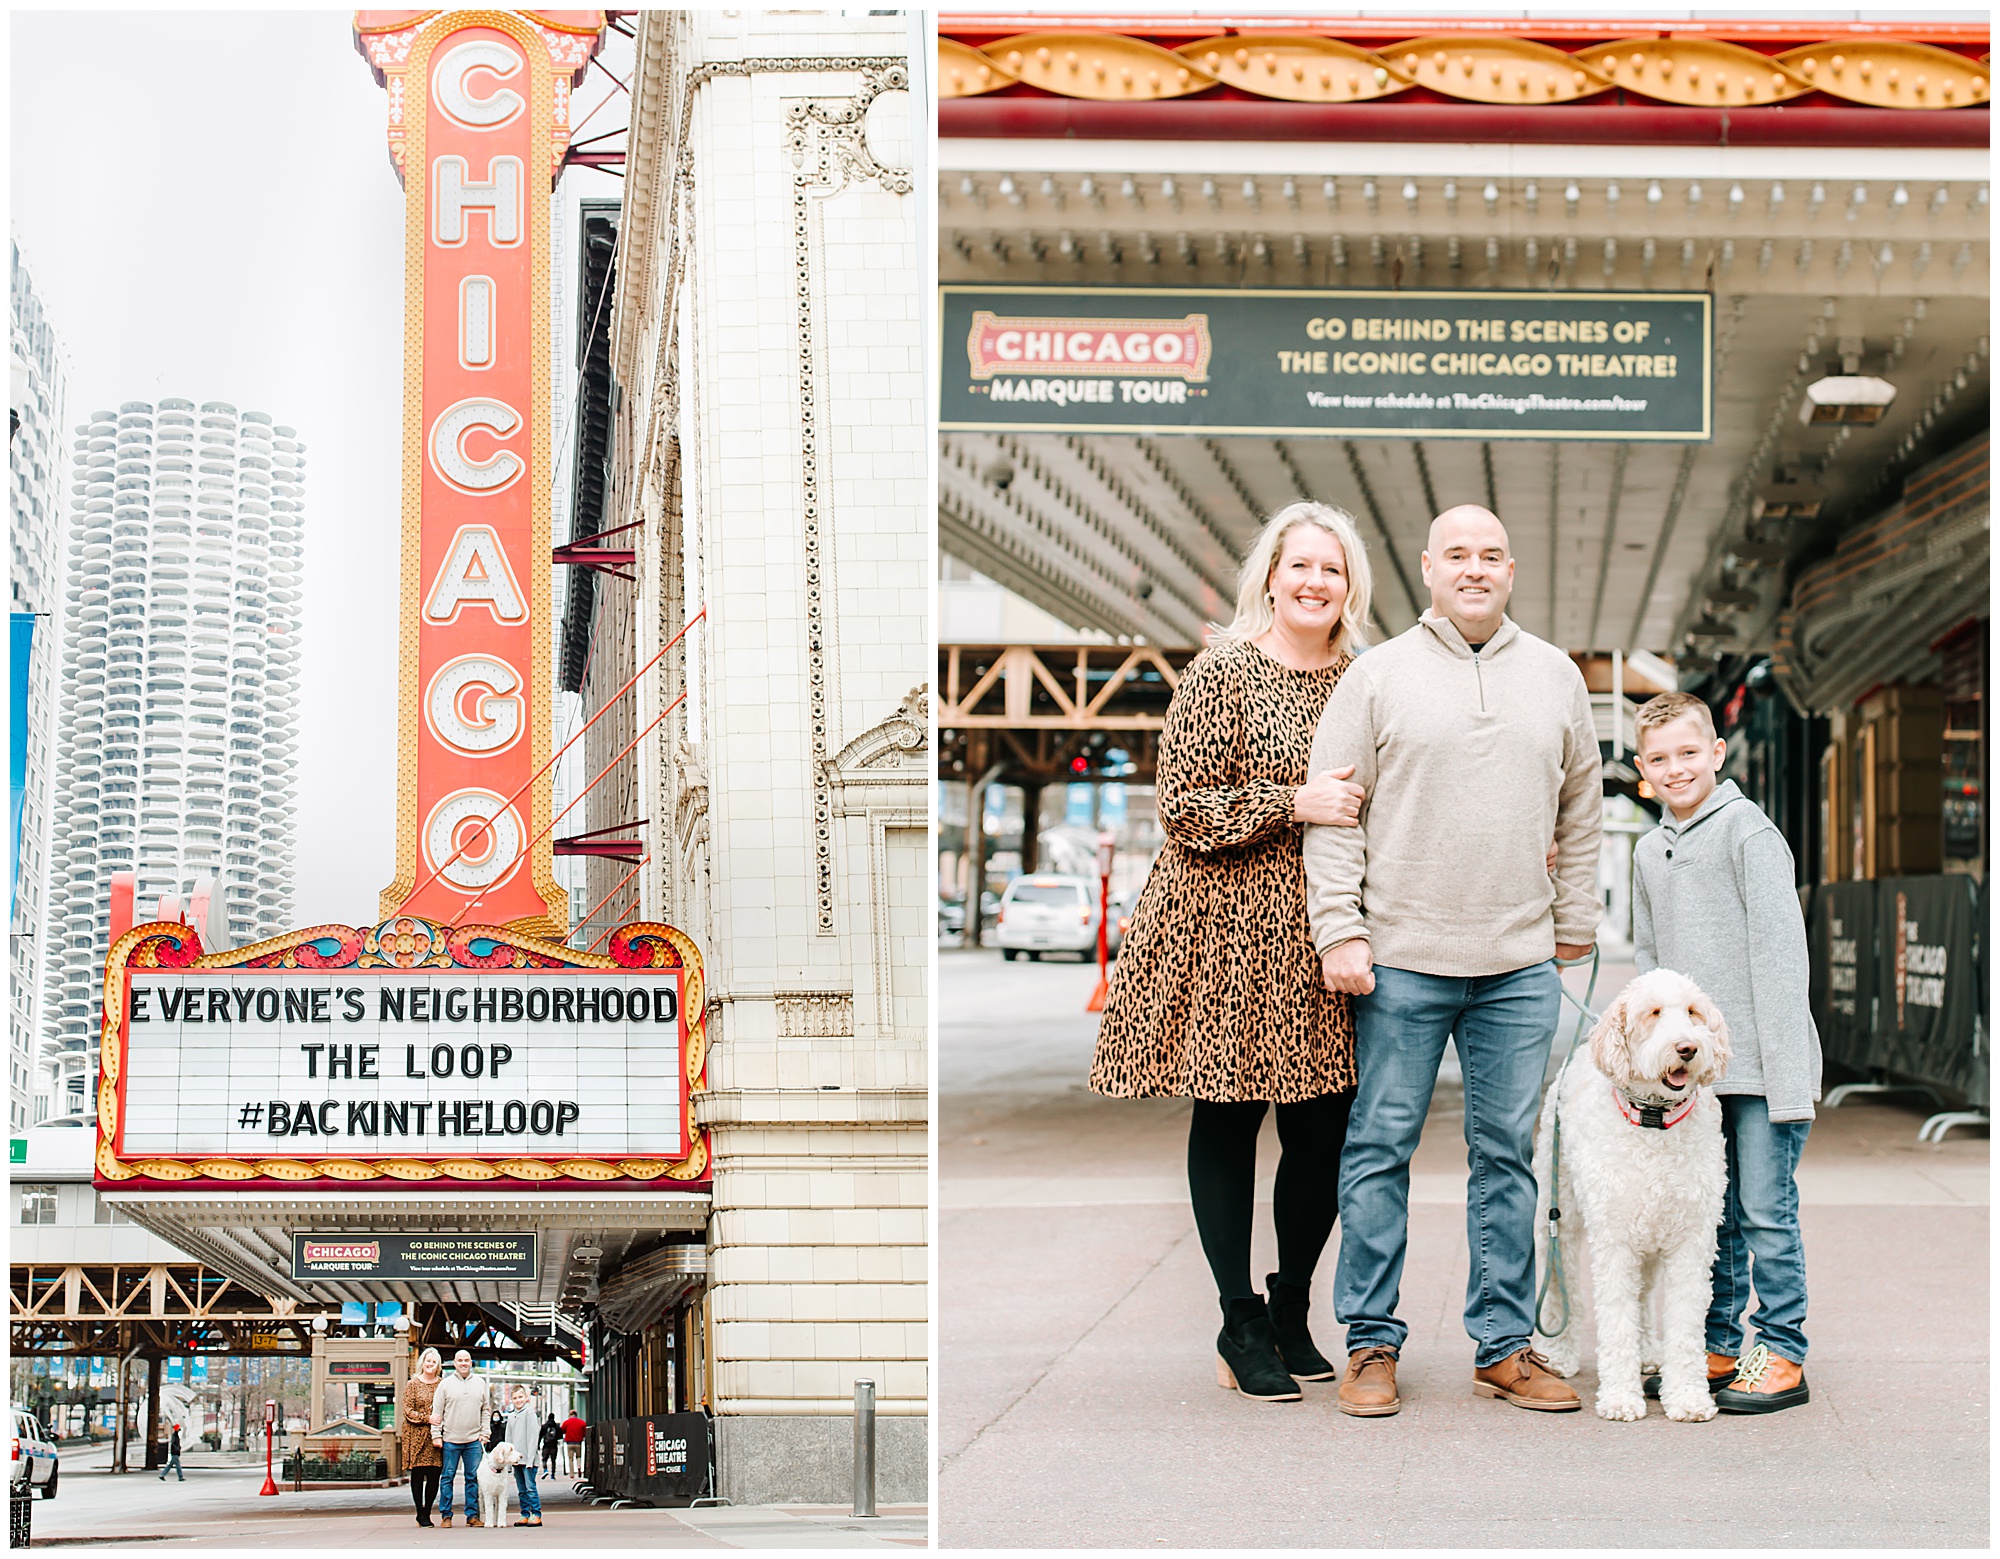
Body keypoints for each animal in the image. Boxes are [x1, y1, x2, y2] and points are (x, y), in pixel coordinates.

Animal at [1536, 975, 1728, 1423]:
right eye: (1652, 1013)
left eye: (1693, 1012)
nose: (1687, 1048)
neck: (1655, 1122)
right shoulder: (1615, 1242)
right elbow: (1616, 1321)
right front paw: (1621, 1398)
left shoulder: (1691, 1241)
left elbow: (1685, 1324)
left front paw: (1688, 1397)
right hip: (1558, 1216)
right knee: (1560, 1287)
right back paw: (1559, 1354)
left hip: (1651, 1238)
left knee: (1643, 1297)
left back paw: (1649, 1352)